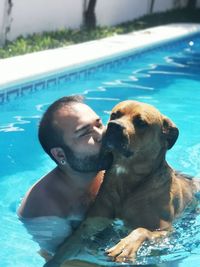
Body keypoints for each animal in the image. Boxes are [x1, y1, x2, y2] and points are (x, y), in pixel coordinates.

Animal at [44, 101, 200, 267]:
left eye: (141, 122)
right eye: (114, 115)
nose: (114, 126)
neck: (125, 180)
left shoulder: (165, 232)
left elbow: (142, 230)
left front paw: (126, 245)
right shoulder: (92, 223)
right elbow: (69, 245)